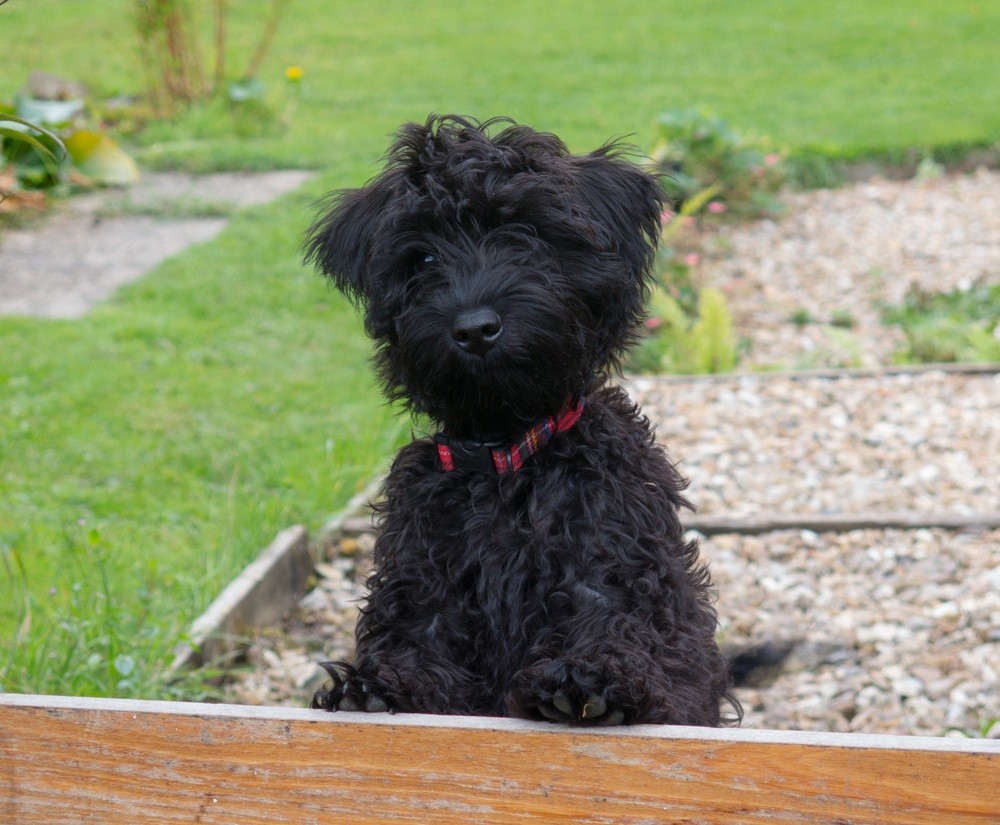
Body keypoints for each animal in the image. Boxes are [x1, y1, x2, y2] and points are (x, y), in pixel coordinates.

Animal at [306, 117, 744, 728]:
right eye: (423, 260)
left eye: (529, 235)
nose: (474, 327)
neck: (506, 459)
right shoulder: (424, 593)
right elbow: (417, 652)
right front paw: (375, 687)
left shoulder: (622, 586)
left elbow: (639, 648)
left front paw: (590, 681)